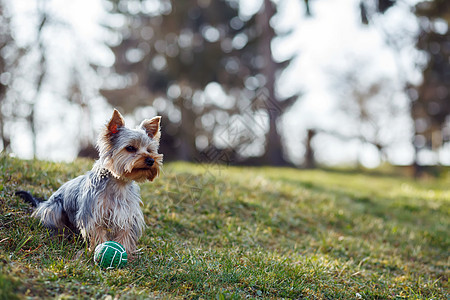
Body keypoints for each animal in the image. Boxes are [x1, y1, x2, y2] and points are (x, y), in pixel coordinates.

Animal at [16, 109, 163, 254]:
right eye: (130, 148)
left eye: (149, 150)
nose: (151, 160)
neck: (119, 182)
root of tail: (42, 203)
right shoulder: (92, 212)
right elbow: (97, 232)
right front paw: (99, 249)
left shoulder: (126, 214)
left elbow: (125, 234)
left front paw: (125, 252)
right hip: (54, 208)